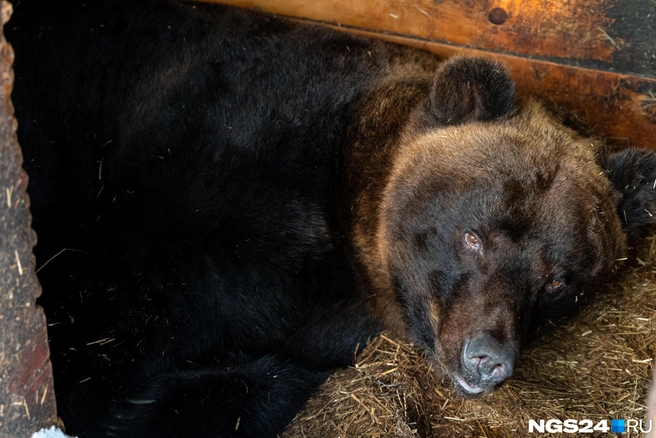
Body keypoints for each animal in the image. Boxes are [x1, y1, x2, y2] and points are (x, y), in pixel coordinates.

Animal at [7, 0, 656, 436]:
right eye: (473, 236)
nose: (486, 357)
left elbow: (262, 381)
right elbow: (102, 328)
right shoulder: (196, 196)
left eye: (558, 280)